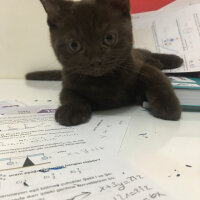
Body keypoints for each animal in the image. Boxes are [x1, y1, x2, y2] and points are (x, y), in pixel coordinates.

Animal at [26, 0, 183, 125]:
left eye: (109, 38)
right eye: (74, 45)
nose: (95, 61)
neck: (102, 82)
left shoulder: (136, 65)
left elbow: (156, 77)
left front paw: (169, 106)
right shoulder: (68, 83)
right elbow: (68, 95)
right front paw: (71, 110)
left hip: (139, 54)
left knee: (149, 54)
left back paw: (173, 60)